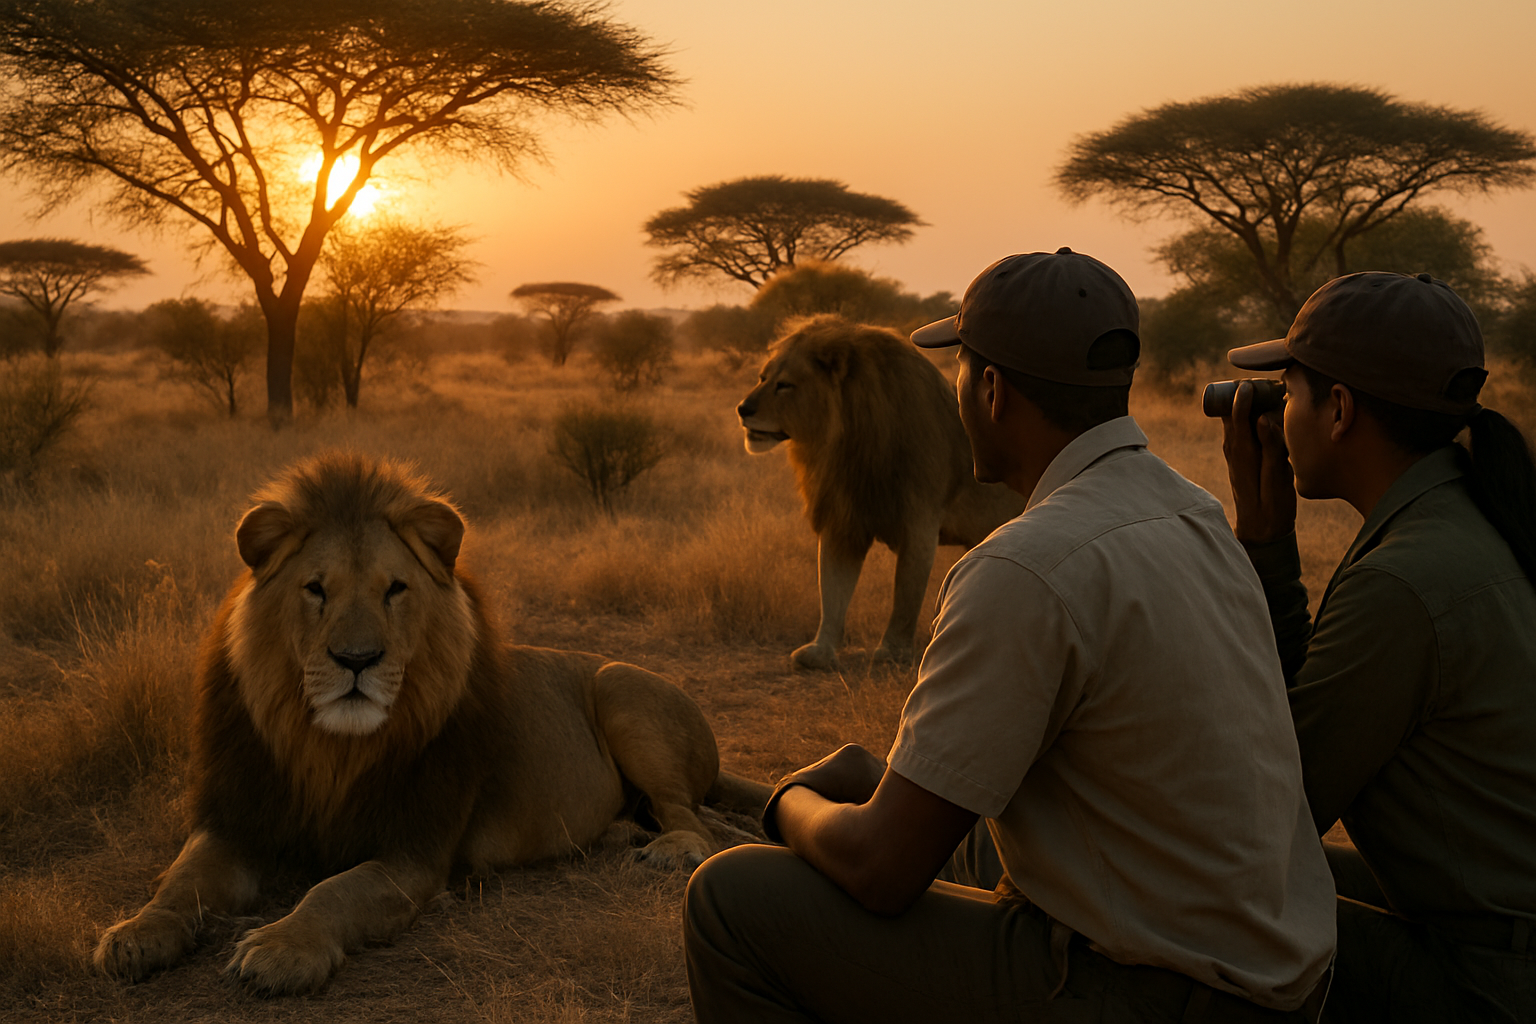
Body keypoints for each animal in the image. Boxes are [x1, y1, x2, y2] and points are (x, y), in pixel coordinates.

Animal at [93, 453, 769, 996]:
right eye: (315, 590)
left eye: (395, 589)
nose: (357, 661)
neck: (328, 747)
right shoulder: (236, 822)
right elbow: (181, 881)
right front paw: (134, 934)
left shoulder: (414, 852)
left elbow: (334, 890)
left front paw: (283, 949)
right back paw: (619, 834)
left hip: (620, 687)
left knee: (697, 823)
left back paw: (668, 850)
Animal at [737, 315, 1025, 671]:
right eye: (762, 378)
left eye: (785, 385)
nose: (742, 409)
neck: (842, 441)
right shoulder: (843, 518)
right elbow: (832, 589)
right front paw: (820, 651)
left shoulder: (919, 521)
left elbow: (905, 595)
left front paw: (892, 651)